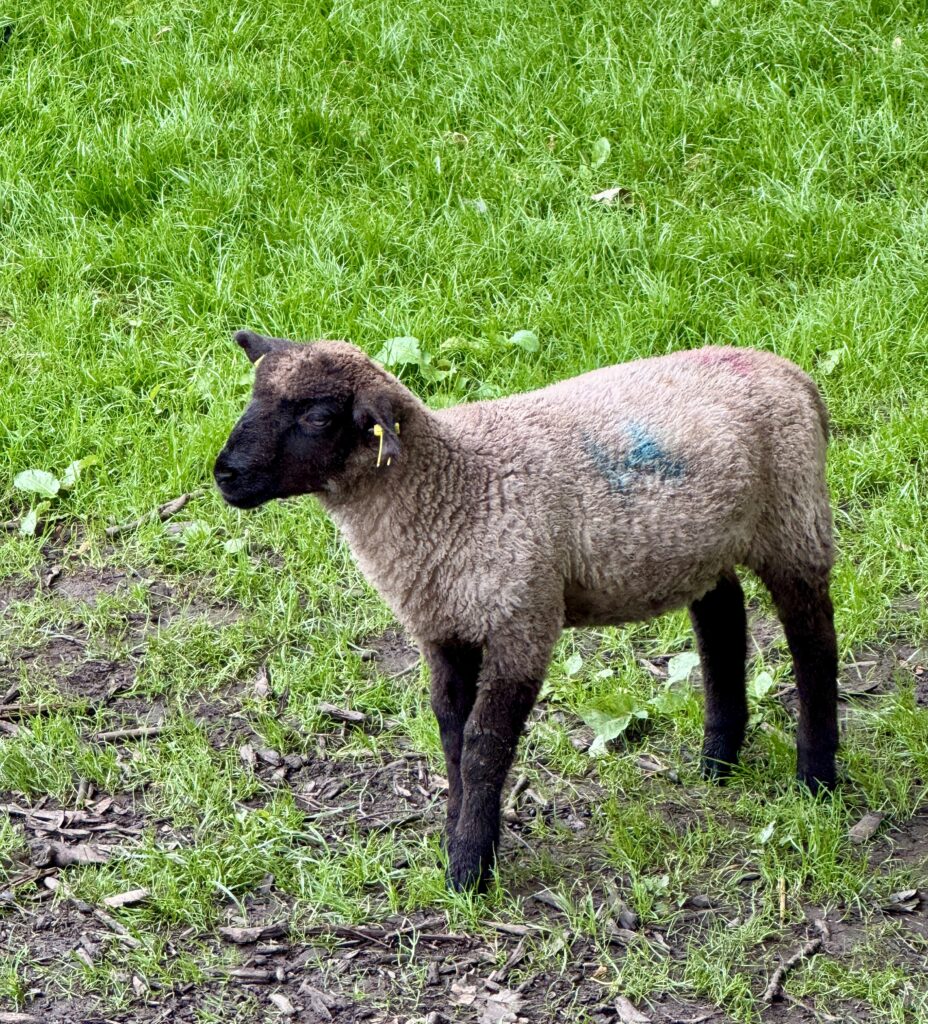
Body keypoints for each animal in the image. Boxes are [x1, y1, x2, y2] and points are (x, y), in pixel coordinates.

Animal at [214, 331, 839, 892]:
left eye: (318, 417)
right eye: (253, 394)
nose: (224, 474)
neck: (455, 488)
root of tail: (792, 373)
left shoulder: (523, 621)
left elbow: (484, 744)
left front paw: (469, 868)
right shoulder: (443, 627)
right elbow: (451, 733)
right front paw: (458, 836)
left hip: (793, 519)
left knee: (813, 644)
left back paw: (816, 779)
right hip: (700, 540)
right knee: (723, 618)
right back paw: (718, 760)